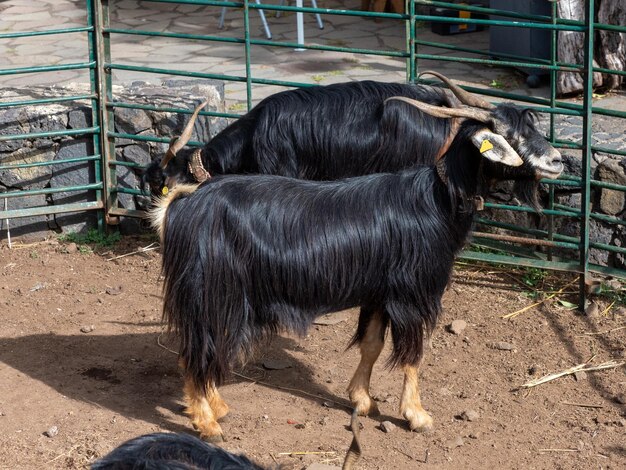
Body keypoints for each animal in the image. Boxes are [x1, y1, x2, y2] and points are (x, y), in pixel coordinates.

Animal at [150, 93, 560, 442]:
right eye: (511, 134)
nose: (558, 161)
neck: (438, 200)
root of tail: (182, 206)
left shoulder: (379, 291)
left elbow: (371, 345)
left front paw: (362, 400)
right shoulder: (413, 293)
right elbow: (413, 355)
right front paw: (417, 415)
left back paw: (216, 406)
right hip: (214, 292)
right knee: (198, 350)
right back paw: (207, 422)